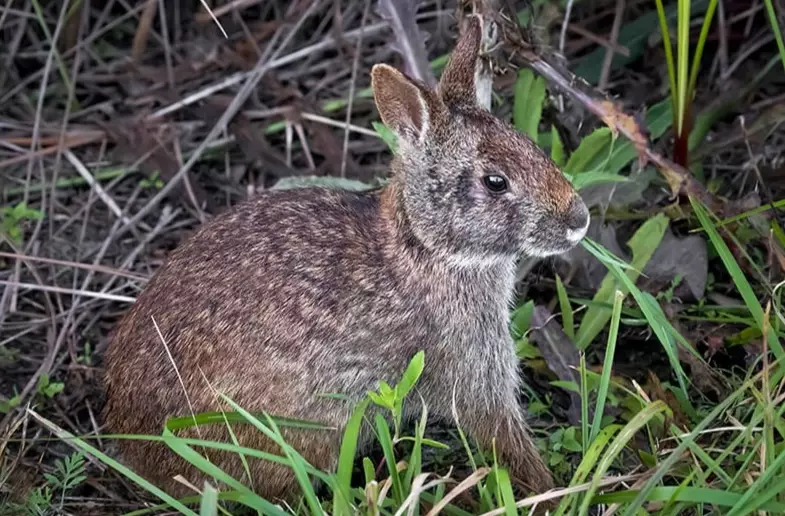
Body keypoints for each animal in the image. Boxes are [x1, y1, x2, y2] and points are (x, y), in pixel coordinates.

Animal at [102, 14, 590, 507]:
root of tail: (134, 444)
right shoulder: (468, 362)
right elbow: (500, 433)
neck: (425, 247)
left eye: (527, 143)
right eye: (495, 182)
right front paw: (552, 493)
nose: (579, 219)